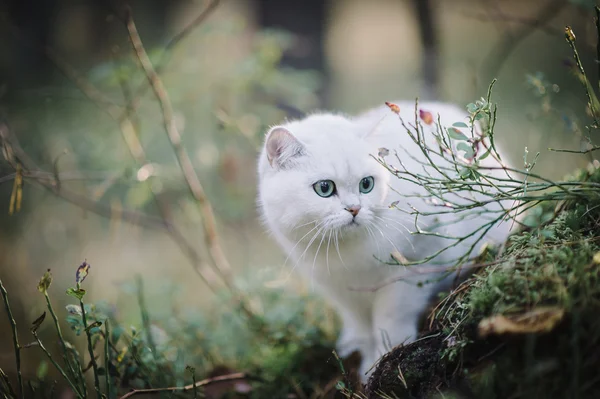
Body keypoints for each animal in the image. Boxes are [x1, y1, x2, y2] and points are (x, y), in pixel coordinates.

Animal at [255, 100, 512, 382]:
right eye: (324, 188)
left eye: (366, 184)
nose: (355, 209)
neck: (347, 253)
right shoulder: (339, 290)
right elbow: (362, 327)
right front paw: (366, 361)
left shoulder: (413, 264)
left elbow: (391, 318)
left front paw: (384, 360)